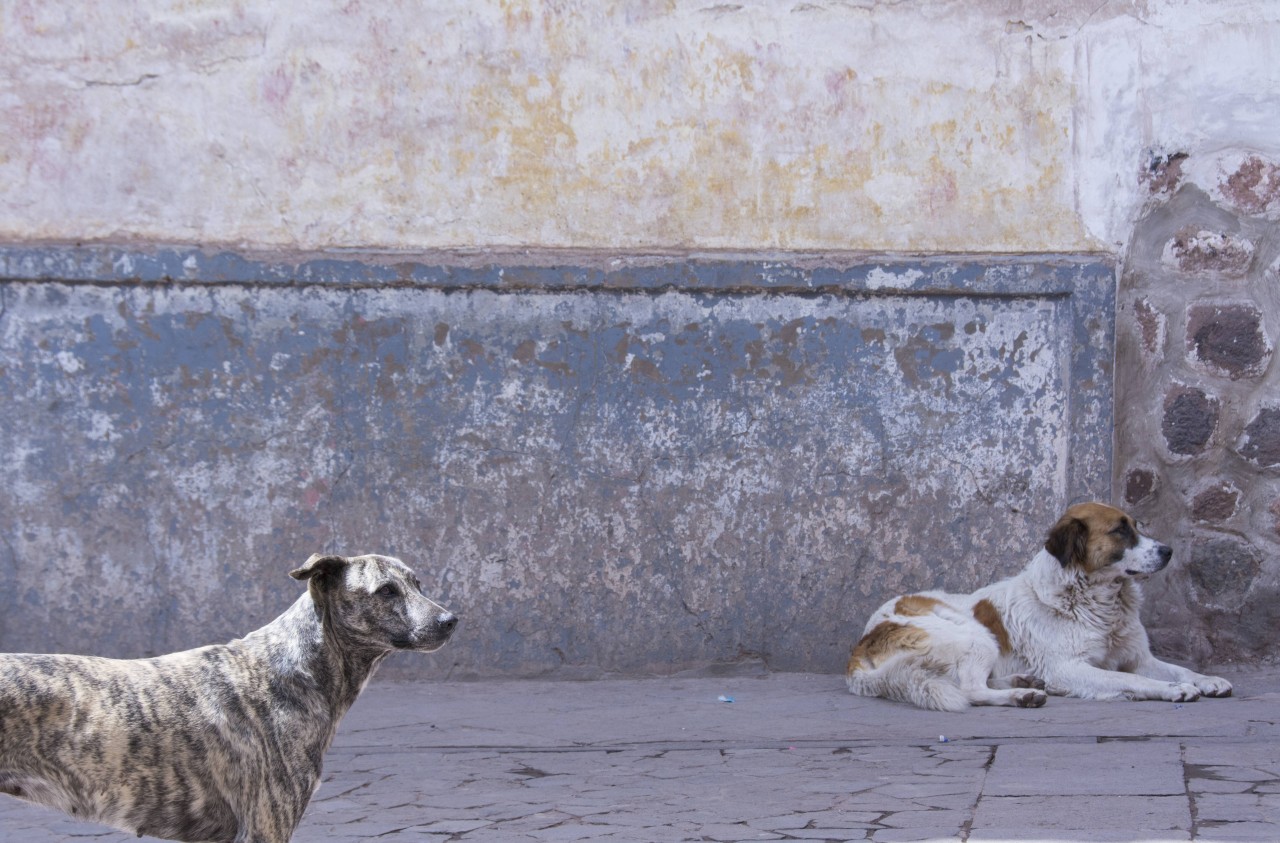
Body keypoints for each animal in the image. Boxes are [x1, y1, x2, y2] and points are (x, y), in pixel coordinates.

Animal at [844, 509, 1233, 711]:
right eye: (1120, 531)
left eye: (1137, 526)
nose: (1168, 551)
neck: (1098, 601)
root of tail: (860, 644)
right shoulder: (1068, 668)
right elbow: (1131, 680)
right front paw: (1170, 691)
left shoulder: (1138, 657)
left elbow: (1179, 669)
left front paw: (1207, 680)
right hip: (975, 636)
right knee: (970, 689)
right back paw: (1022, 694)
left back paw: (1024, 681)